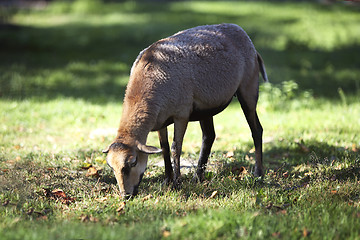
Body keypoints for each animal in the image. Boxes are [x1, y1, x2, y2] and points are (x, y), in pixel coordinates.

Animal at [102, 23, 268, 198]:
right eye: (111, 167)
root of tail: (243, 33)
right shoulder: (160, 119)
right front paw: (167, 180)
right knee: (209, 136)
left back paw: (258, 174)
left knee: (256, 129)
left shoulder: (181, 113)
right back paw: (198, 177)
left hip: (248, 87)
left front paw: (177, 183)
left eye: (133, 162)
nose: (125, 195)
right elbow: (164, 147)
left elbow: (176, 148)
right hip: (206, 107)